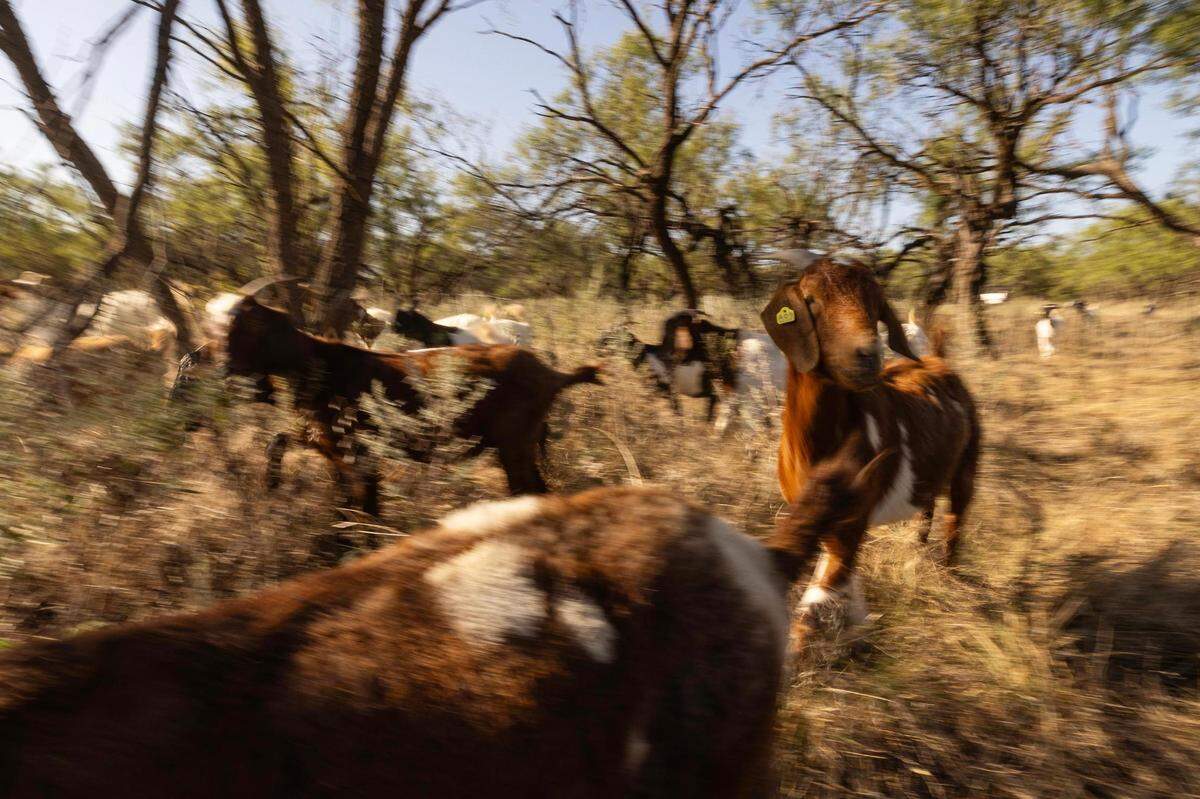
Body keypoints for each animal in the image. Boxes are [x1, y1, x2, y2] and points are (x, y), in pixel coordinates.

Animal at [228, 285, 600, 514]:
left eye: (248, 330)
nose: (230, 375)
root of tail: (550, 372)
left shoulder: (354, 451)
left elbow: (366, 504)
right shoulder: (324, 440)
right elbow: (280, 441)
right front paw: (271, 482)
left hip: (514, 447)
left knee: (530, 490)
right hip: (515, 446)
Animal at [760, 256, 980, 637]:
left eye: (876, 307)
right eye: (812, 301)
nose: (867, 355)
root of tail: (938, 359)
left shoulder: (851, 515)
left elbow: (814, 602)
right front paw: (858, 622)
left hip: (967, 464)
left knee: (955, 519)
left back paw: (947, 577)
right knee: (926, 512)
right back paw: (917, 560)